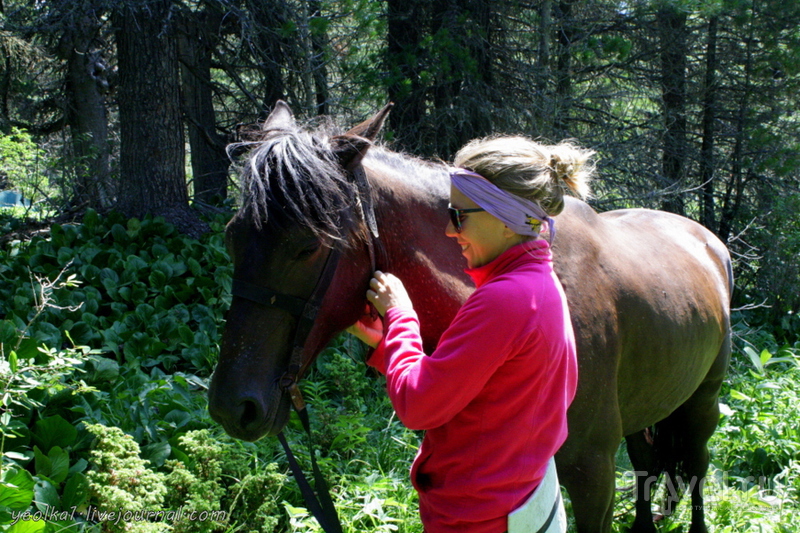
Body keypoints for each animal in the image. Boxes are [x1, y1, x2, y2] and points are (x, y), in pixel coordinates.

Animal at [209, 101, 736, 532]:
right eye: (233, 237)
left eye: (308, 246)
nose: (233, 407)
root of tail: (705, 238)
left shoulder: (593, 472)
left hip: (702, 405)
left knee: (698, 467)